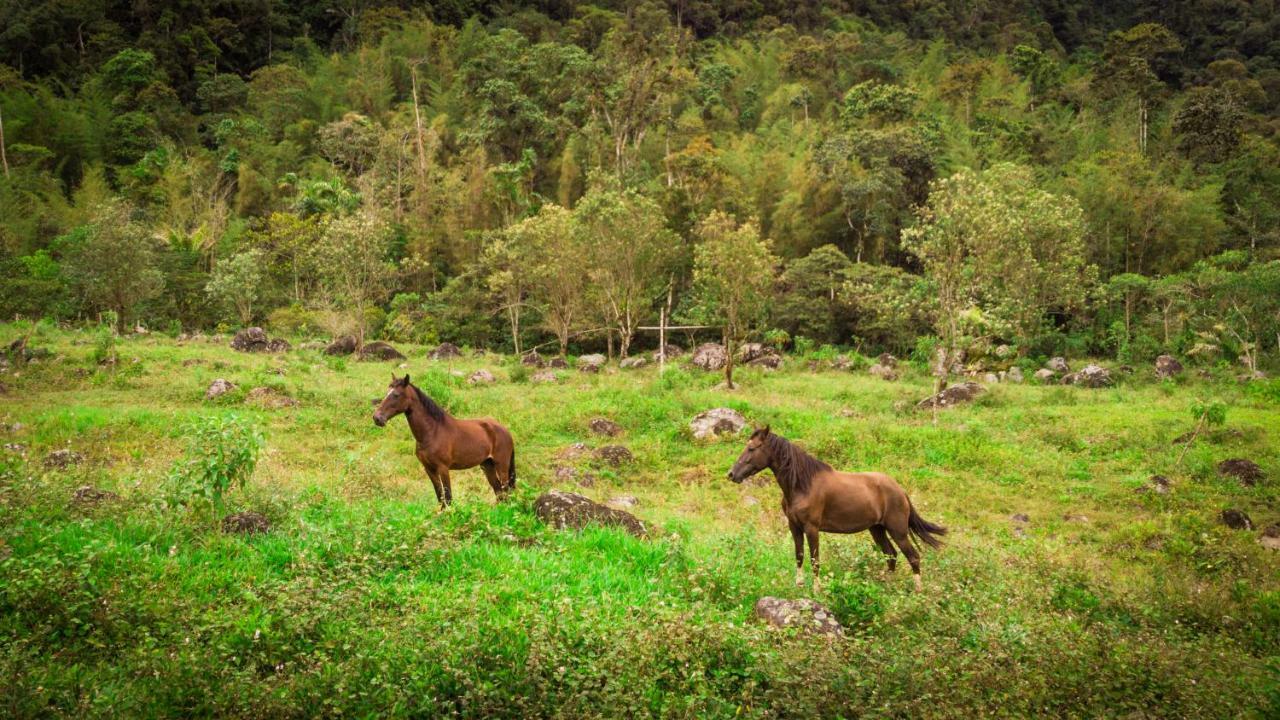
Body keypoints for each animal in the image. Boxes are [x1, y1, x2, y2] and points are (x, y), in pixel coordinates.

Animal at [371, 371, 514, 507]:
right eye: (386, 392)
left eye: (396, 395)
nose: (377, 418)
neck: (433, 432)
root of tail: (505, 430)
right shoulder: (429, 469)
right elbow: (440, 496)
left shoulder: (443, 468)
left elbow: (448, 497)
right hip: (487, 465)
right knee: (499, 492)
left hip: (501, 466)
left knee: (505, 491)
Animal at [727, 425, 947, 589]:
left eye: (752, 449)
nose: (731, 474)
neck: (802, 485)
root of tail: (900, 490)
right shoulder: (794, 527)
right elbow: (799, 556)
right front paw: (799, 585)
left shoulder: (812, 528)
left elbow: (815, 559)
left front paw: (817, 590)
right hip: (877, 529)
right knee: (891, 555)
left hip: (898, 530)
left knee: (913, 557)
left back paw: (917, 592)